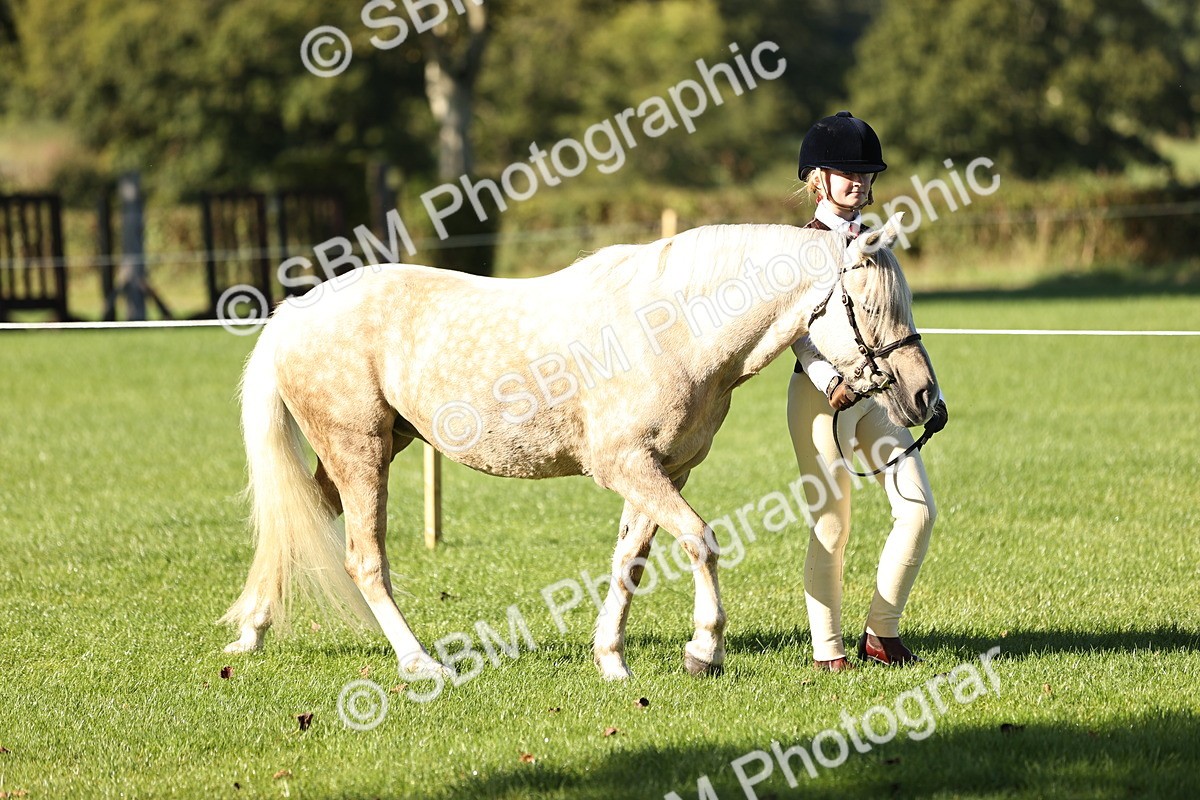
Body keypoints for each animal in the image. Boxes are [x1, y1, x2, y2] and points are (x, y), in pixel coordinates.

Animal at [219, 213, 938, 681]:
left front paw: (611, 659)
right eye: (871, 306)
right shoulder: (628, 467)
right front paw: (703, 650)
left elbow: (630, 562)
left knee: (297, 526)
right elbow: (701, 542)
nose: (925, 397)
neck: (674, 327)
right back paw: (420, 663)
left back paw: (251, 631)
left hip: (366, 452)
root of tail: (293, 312)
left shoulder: (662, 472)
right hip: (360, 454)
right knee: (364, 560)